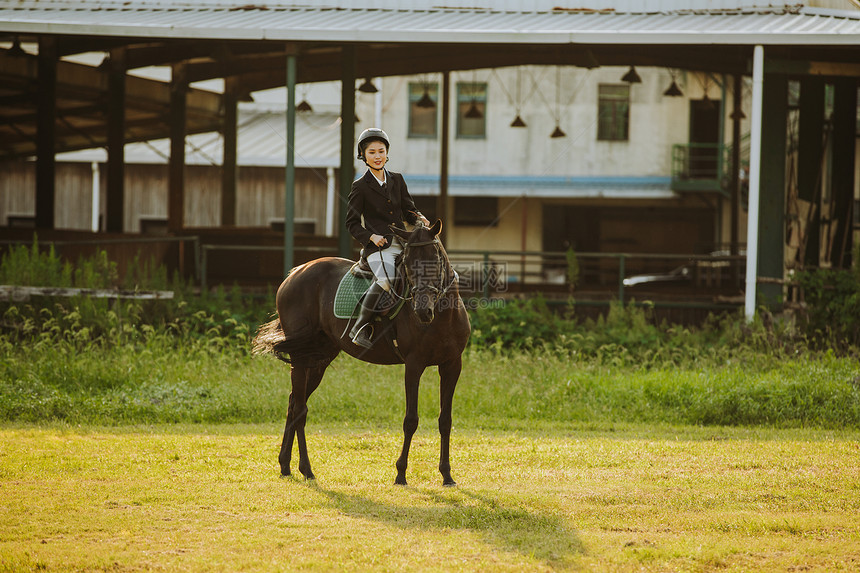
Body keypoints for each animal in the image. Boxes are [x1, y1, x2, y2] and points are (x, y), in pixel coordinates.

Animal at [252, 221, 470, 484]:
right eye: (408, 263)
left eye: (435, 260)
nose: (422, 311)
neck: (442, 316)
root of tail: (295, 273)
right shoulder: (413, 365)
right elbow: (411, 420)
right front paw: (401, 473)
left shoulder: (452, 365)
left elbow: (445, 420)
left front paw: (447, 475)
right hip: (301, 358)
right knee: (300, 409)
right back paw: (306, 469)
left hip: (319, 360)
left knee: (294, 402)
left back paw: (286, 465)